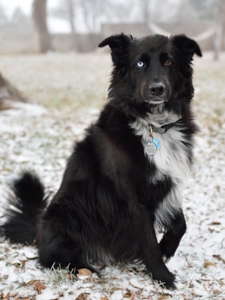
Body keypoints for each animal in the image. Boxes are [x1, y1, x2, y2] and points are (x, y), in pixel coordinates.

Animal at [1, 32, 202, 288]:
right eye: (139, 63)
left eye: (169, 62)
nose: (157, 89)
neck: (153, 127)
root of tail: (38, 228)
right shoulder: (132, 199)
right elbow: (149, 242)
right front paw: (163, 277)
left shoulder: (167, 181)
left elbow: (180, 224)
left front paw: (167, 248)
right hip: (68, 215)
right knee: (51, 259)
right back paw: (86, 269)